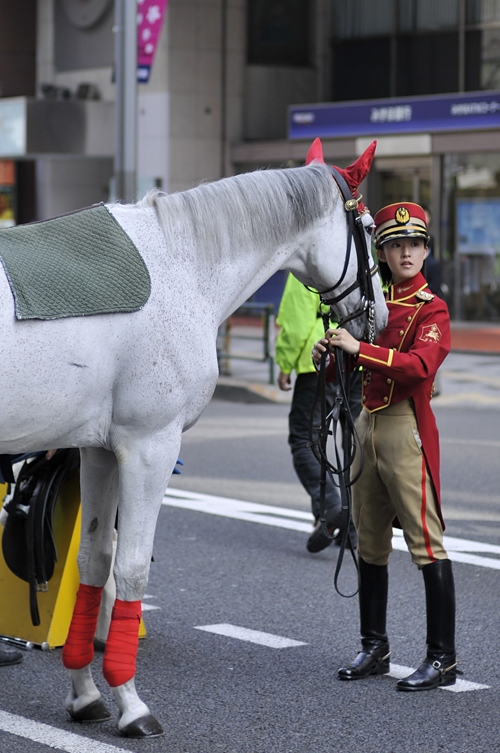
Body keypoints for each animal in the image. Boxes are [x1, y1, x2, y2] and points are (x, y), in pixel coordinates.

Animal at [0, 144, 386, 736]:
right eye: (366, 228)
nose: (380, 319)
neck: (182, 267)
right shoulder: (149, 447)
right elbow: (132, 568)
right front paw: (131, 703)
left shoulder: (99, 450)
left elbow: (94, 561)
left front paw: (84, 693)